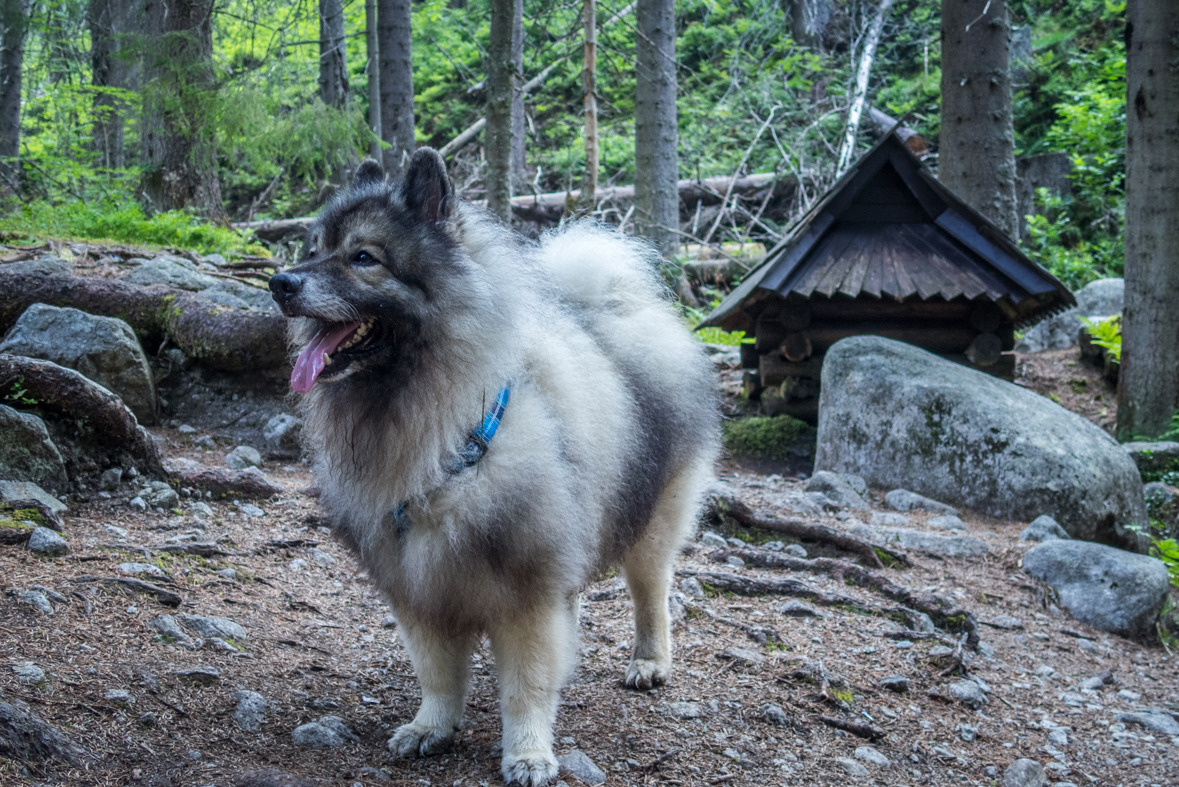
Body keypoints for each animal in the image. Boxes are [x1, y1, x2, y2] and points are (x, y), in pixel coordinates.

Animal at [269, 149, 716, 787]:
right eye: (312, 249)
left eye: (363, 258)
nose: (280, 283)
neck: (447, 436)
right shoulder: (418, 588)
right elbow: (437, 674)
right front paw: (431, 726)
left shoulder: (526, 594)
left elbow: (526, 687)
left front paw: (528, 754)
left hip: (652, 521)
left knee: (651, 592)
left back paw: (650, 662)